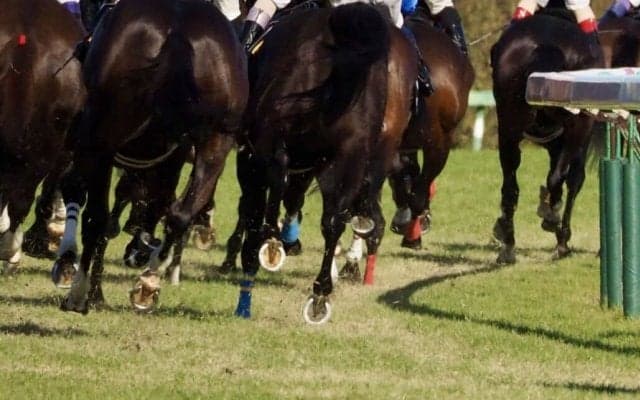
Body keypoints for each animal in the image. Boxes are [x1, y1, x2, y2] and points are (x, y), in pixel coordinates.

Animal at [54, 0, 249, 313]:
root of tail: (178, 32)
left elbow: (85, 198)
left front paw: (83, 281)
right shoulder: (172, 154)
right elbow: (154, 203)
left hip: (103, 138)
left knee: (97, 216)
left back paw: (80, 293)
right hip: (217, 143)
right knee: (180, 212)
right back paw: (148, 280)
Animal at [234, 2, 416, 323]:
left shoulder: (252, 159)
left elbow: (256, 209)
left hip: (274, 137)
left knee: (279, 179)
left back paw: (274, 245)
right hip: (350, 157)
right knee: (335, 221)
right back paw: (321, 292)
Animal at [490, 8, 604, 264]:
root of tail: (545, 45)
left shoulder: (552, 144)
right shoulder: (578, 142)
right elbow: (573, 180)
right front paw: (562, 237)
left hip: (508, 131)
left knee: (510, 186)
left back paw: (508, 244)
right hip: (577, 130)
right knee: (559, 177)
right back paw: (554, 224)